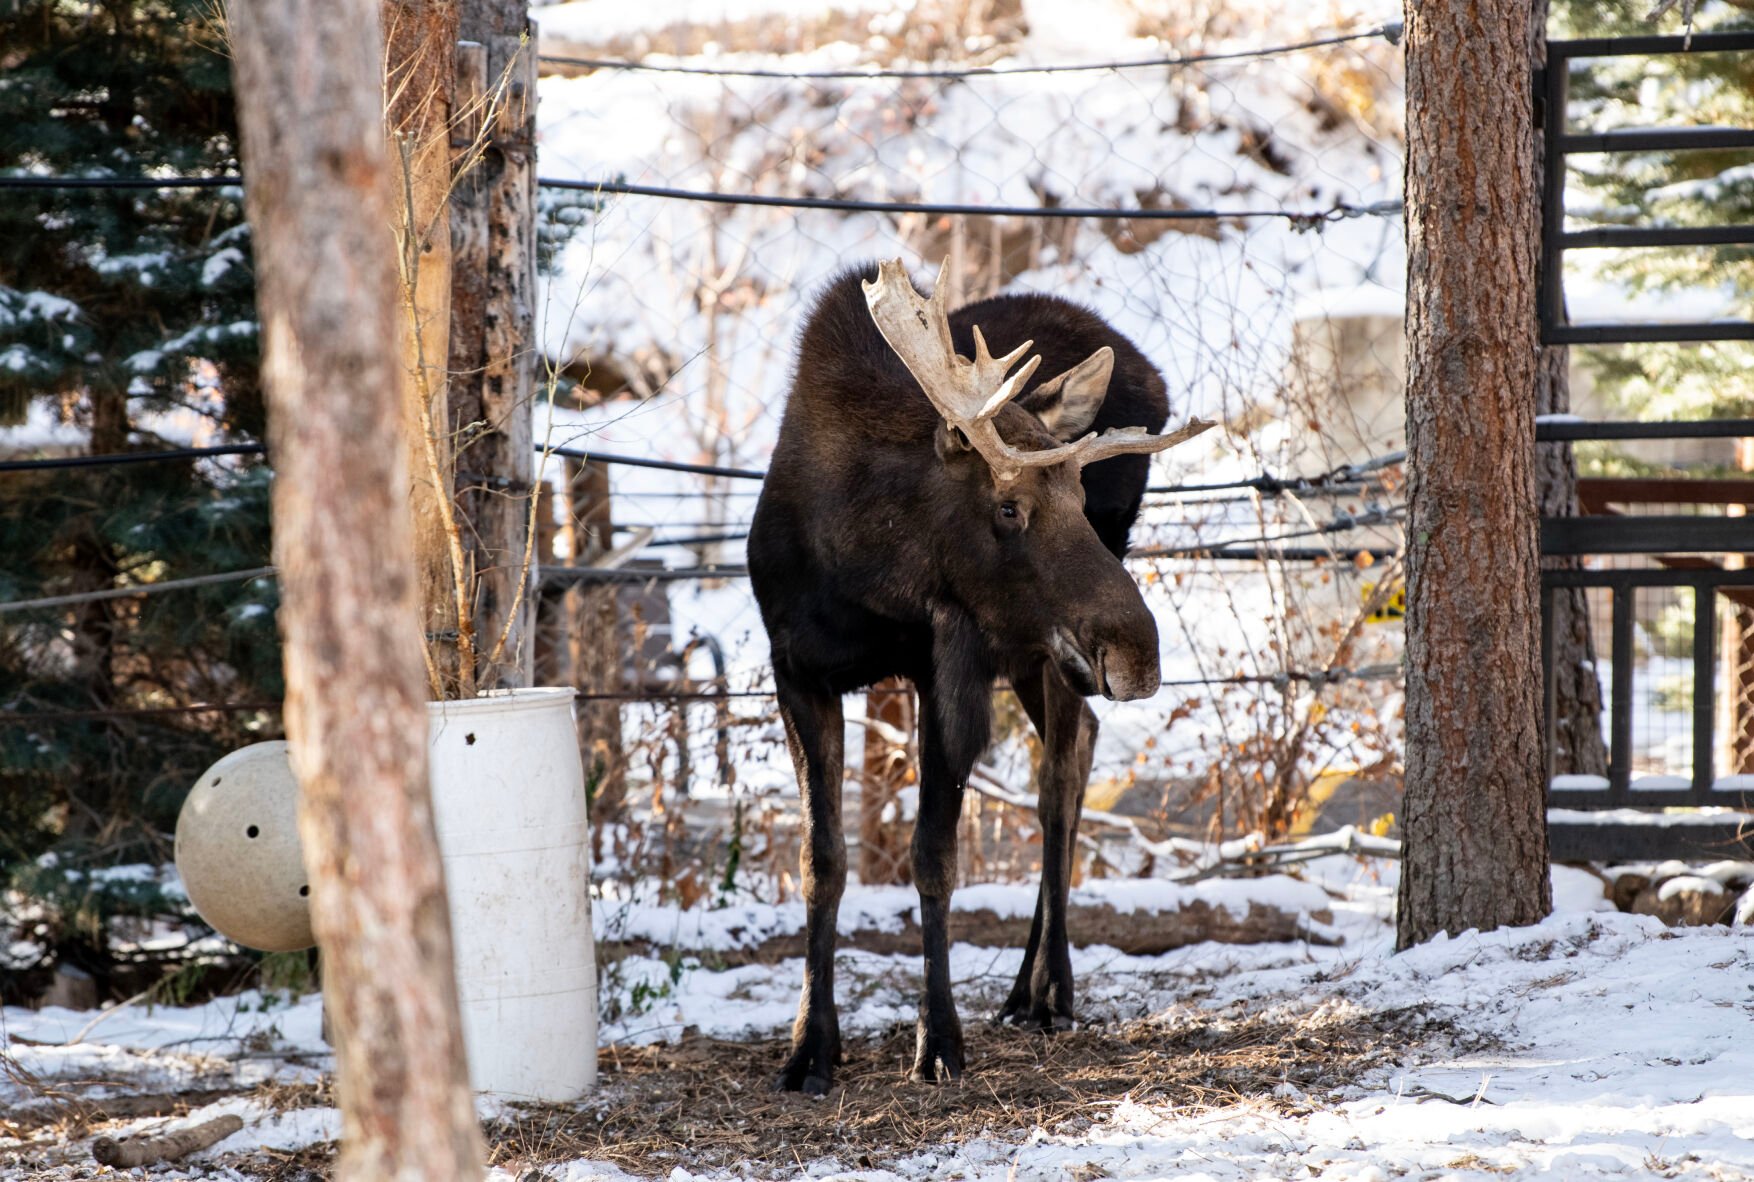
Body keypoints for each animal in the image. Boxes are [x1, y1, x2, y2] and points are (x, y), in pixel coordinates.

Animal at [747, 259, 1212, 1093]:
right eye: (1008, 508)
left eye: (1082, 498)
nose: (1139, 653)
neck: (861, 571)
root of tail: (1148, 371)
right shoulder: (795, 670)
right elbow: (820, 861)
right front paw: (810, 1047)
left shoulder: (948, 668)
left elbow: (934, 856)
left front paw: (938, 1038)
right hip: (1039, 650)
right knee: (1079, 745)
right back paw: (1025, 985)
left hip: (1046, 650)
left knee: (1060, 773)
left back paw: (1049, 990)